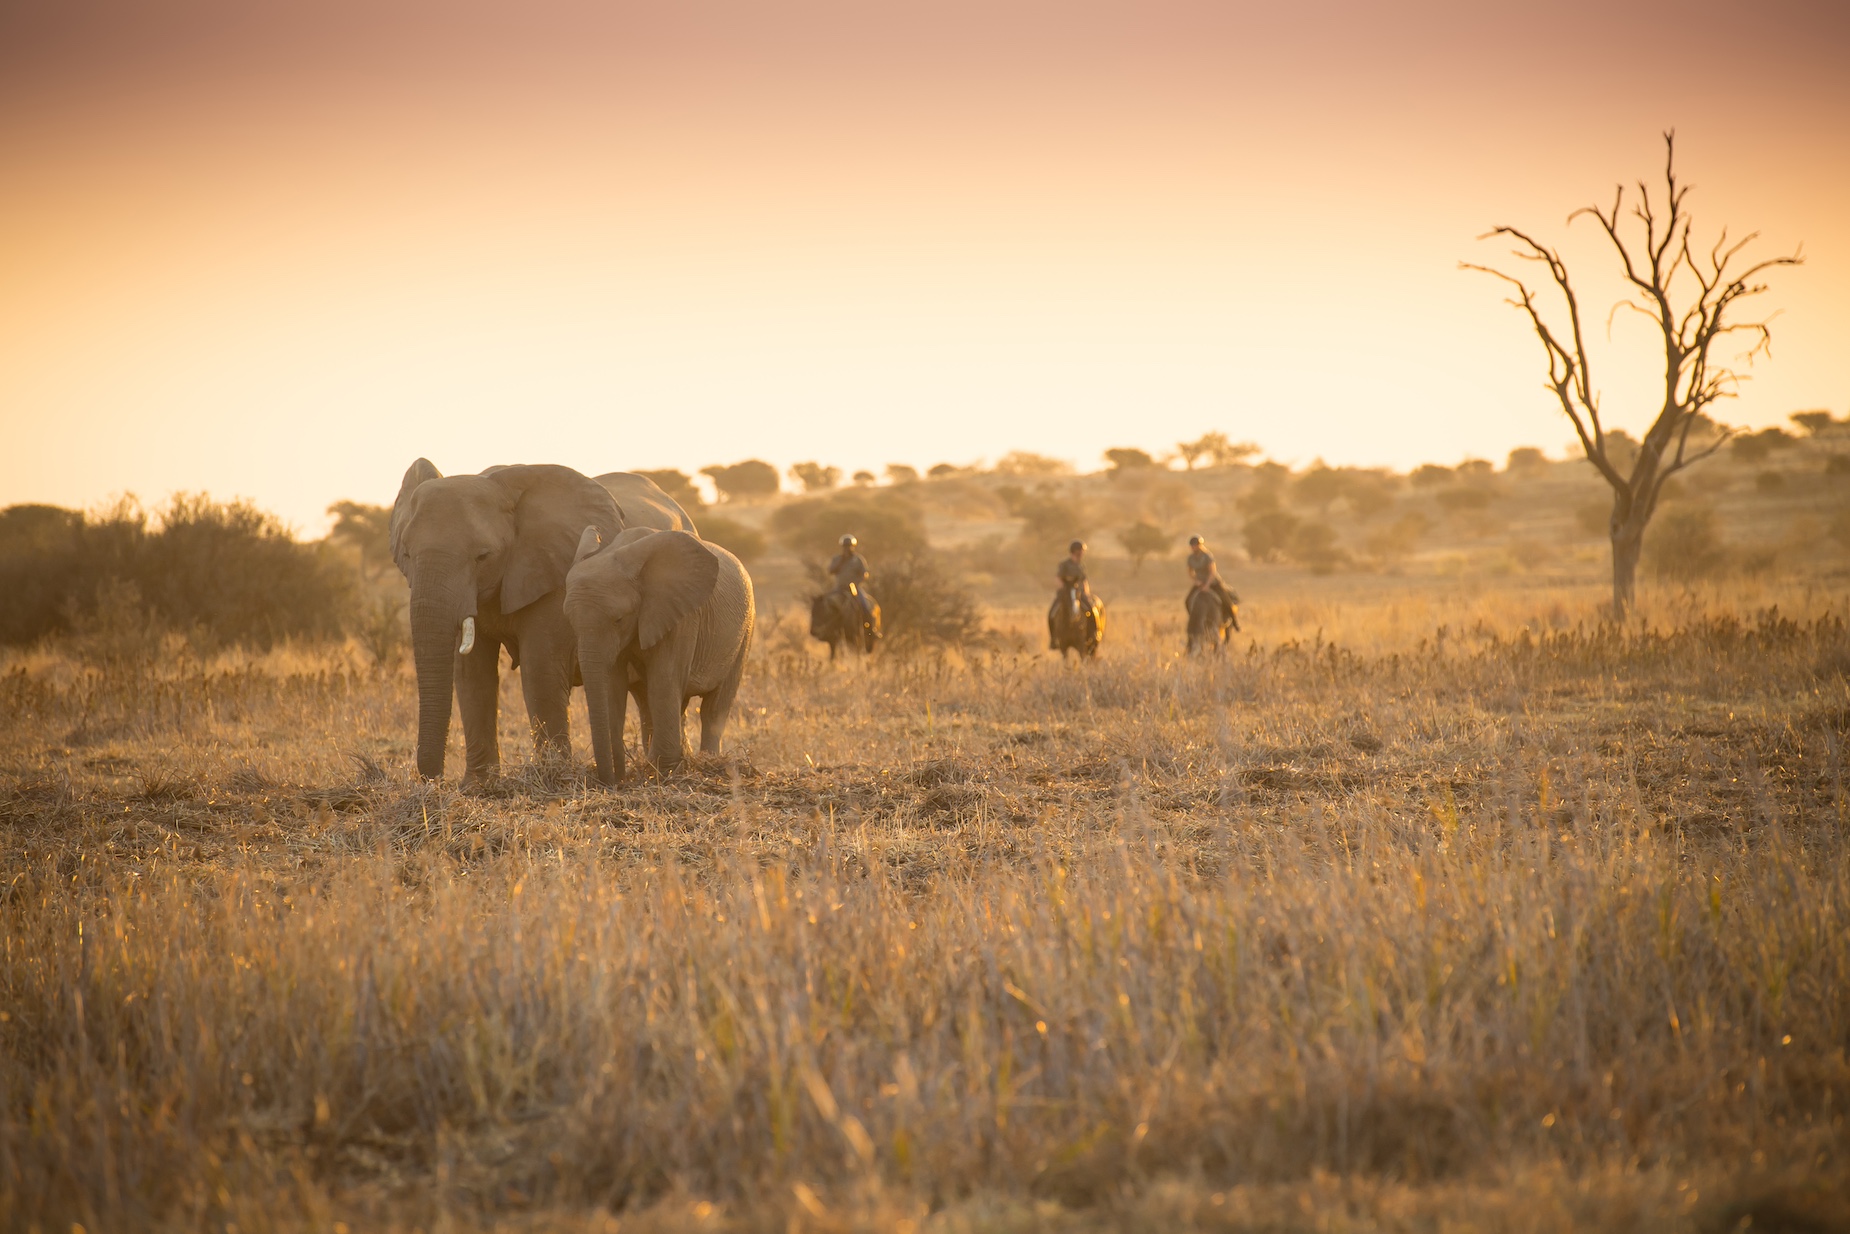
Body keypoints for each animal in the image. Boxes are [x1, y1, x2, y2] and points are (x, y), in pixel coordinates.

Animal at [388, 458, 621, 788]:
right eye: (407, 554)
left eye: (483, 557)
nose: (435, 781)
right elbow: (473, 675)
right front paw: (478, 787)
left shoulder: (553, 573)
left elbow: (540, 671)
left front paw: (555, 778)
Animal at [562, 525, 751, 780]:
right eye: (570, 621)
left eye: (619, 620)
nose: (615, 780)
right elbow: (614, 685)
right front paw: (642, 772)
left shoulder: (680, 614)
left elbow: (664, 679)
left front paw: (663, 772)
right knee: (650, 703)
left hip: (744, 633)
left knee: (714, 707)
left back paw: (708, 763)